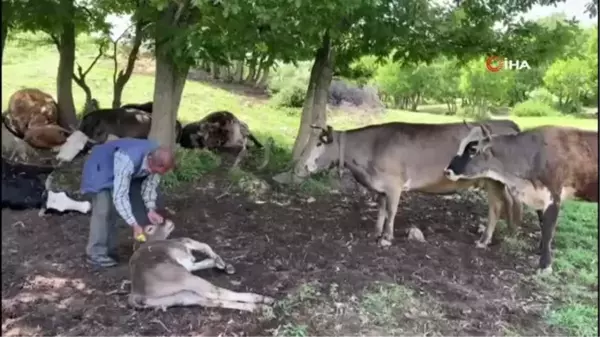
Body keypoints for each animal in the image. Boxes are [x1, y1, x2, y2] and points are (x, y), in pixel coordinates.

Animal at [130, 219, 276, 312]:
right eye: (150, 228)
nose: (166, 221)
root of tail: (136, 292)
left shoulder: (189, 264)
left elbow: (202, 259)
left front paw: (220, 263)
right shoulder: (183, 244)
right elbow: (204, 245)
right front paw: (220, 262)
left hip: (180, 297)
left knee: (213, 302)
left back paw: (259, 308)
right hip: (187, 280)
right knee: (218, 293)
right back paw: (263, 299)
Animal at [302, 121, 524, 247]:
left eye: (319, 143)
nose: (304, 165)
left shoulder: (394, 184)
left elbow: (391, 211)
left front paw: (386, 238)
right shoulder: (381, 186)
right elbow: (381, 209)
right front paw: (376, 232)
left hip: (492, 181)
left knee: (496, 206)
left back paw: (484, 240)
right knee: (506, 203)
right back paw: (508, 232)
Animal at [442, 123, 596, 272]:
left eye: (473, 149)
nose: (447, 171)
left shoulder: (553, 197)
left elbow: (548, 231)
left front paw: (545, 265)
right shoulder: (539, 197)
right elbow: (542, 225)